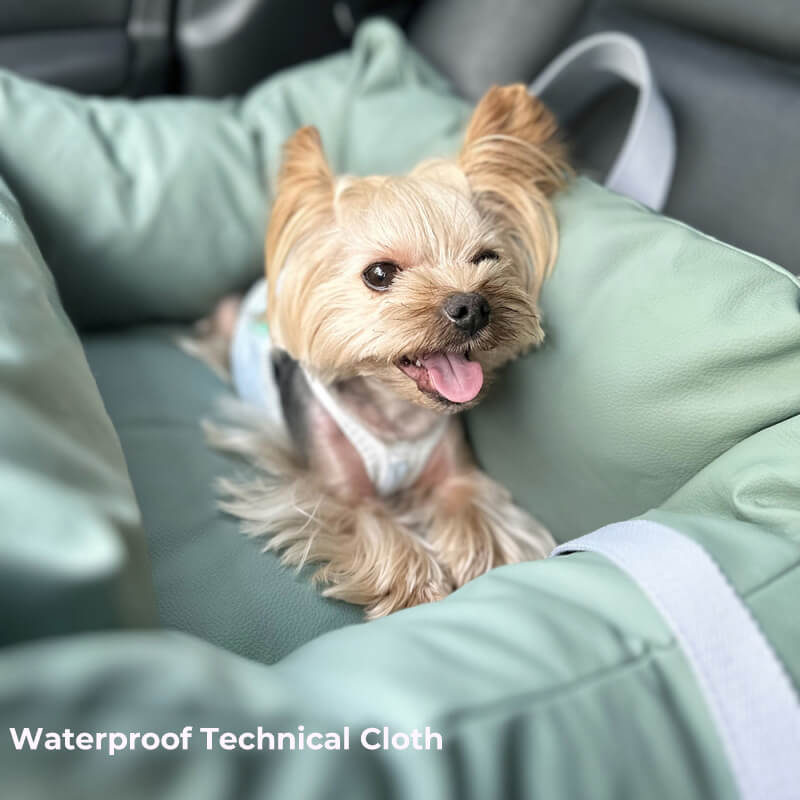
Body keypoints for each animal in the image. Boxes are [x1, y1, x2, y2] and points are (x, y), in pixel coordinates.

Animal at [194, 84, 568, 616]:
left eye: (487, 258)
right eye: (379, 274)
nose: (471, 306)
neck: (396, 413)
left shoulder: (455, 473)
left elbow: (473, 509)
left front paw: (487, 563)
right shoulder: (335, 494)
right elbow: (373, 524)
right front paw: (420, 584)